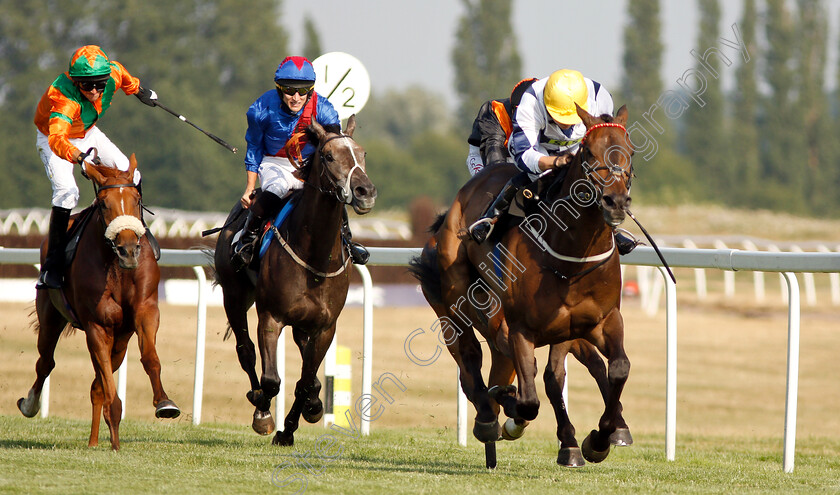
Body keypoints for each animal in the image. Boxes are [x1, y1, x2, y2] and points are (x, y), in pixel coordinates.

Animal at [18, 157, 180, 452]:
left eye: (137, 199)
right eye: (104, 203)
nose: (128, 249)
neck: (117, 267)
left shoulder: (146, 311)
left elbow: (150, 357)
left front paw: (164, 403)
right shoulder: (97, 325)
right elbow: (108, 388)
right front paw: (115, 442)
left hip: (121, 340)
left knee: (95, 385)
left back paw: (94, 441)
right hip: (51, 316)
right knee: (45, 362)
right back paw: (31, 405)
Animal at [215, 114, 376, 448]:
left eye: (362, 153)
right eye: (328, 156)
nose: (365, 191)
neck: (315, 256)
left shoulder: (325, 327)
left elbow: (305, 381)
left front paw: (293, 425)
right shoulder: (271, 317)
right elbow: (271, 380)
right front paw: (265, 414)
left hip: (303, 324)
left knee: (305, 365)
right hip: (234, 295)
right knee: (245, 350)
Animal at [410, 105, 632, 468]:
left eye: (630, 151)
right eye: (588, 152)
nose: (615, 201)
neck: (573, 256)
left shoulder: (598, 321)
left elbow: (615, 369)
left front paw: (599, 439)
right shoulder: (523, 329)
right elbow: (533, 396)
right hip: (454, 301)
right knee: (471, 362)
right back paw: (489, 418)